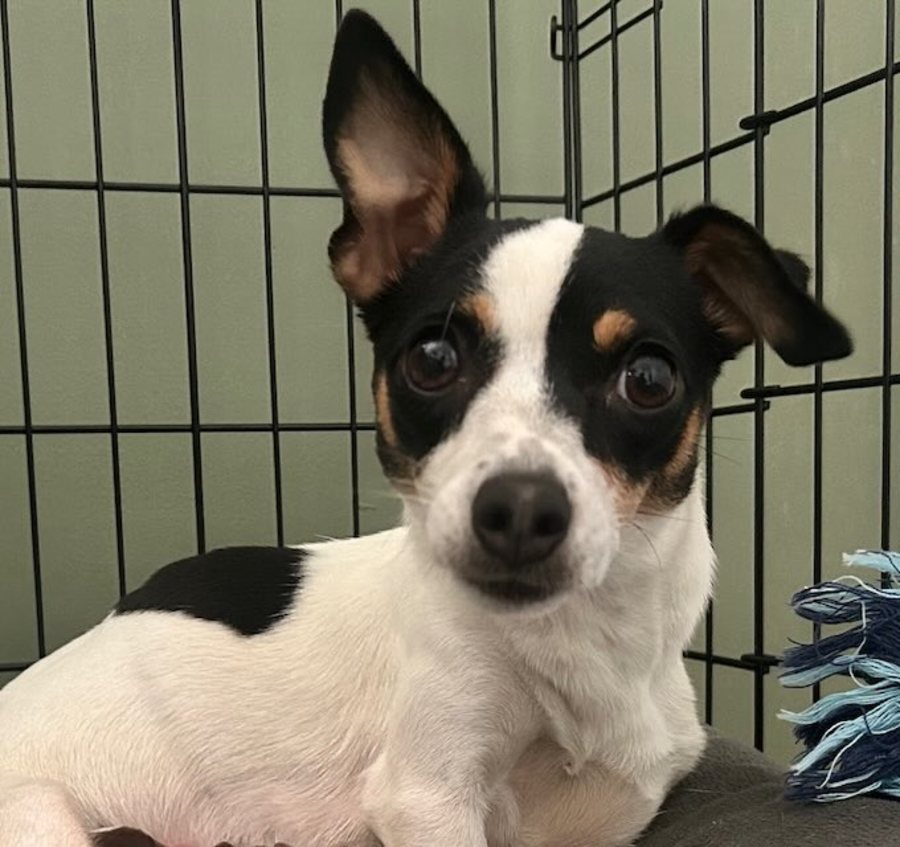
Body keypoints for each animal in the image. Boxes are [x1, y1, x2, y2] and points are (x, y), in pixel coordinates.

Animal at [0, 10, 852, 847]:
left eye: (649, 379)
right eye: (434, 357)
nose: (519, 509)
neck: (578, 644)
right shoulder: (426, 792)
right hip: (46, 816)